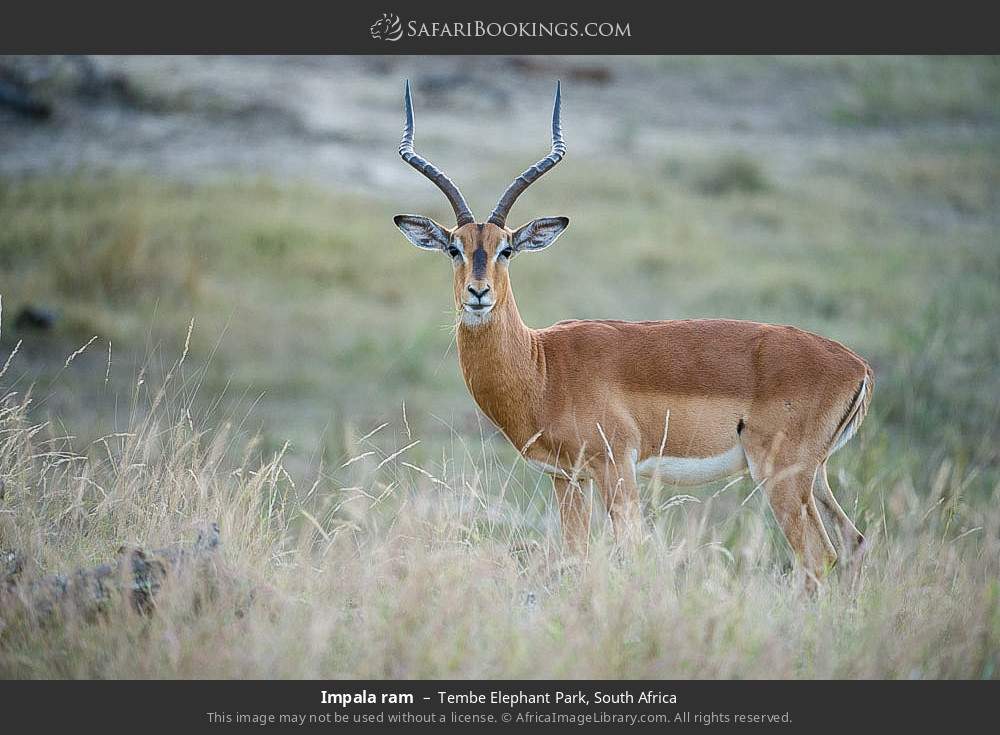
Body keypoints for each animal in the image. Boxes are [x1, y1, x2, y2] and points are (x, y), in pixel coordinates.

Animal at [393, 81, 873, 589]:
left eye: (506, 248)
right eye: (453, 247)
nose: (478, 293)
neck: (542, 366)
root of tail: (858, 366)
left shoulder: (616, 468)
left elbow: (634, 552)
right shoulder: (568, 478)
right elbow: (577, 555)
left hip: (782, 475)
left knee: (818, 556)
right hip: (814, 477)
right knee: (853, 543)